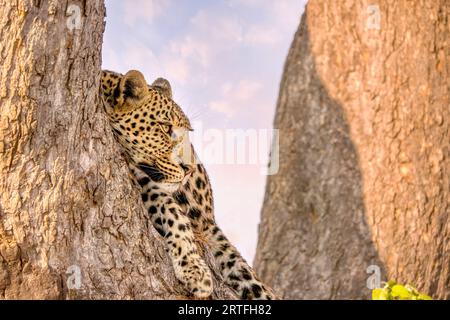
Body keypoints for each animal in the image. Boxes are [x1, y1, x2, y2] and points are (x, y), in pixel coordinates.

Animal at [100, 70, 280, 300]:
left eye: (188, 132)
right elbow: (172, 211)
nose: (190, 168)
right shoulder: (143, 180)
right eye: (165, 127)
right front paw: (194, 270)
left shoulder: (208, 226)